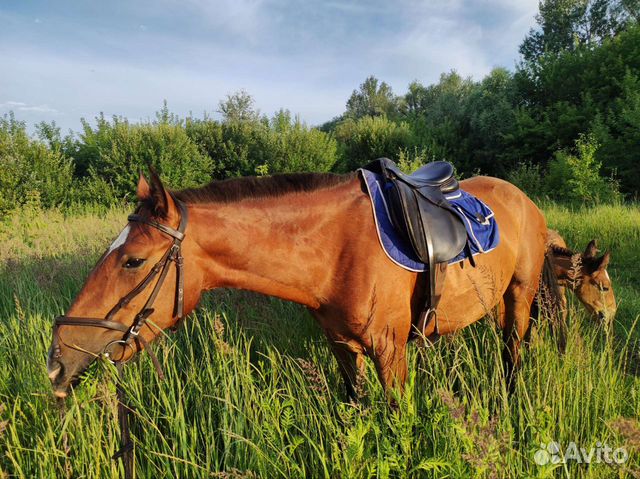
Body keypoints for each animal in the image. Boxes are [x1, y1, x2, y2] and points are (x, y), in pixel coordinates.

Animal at [48, 171, 552, 400]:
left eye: (133, 261)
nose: (56, 363)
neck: (338, 250)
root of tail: (524, 198)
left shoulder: (390, 353)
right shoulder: (342, 346)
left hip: (519, 296)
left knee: (513, 351)